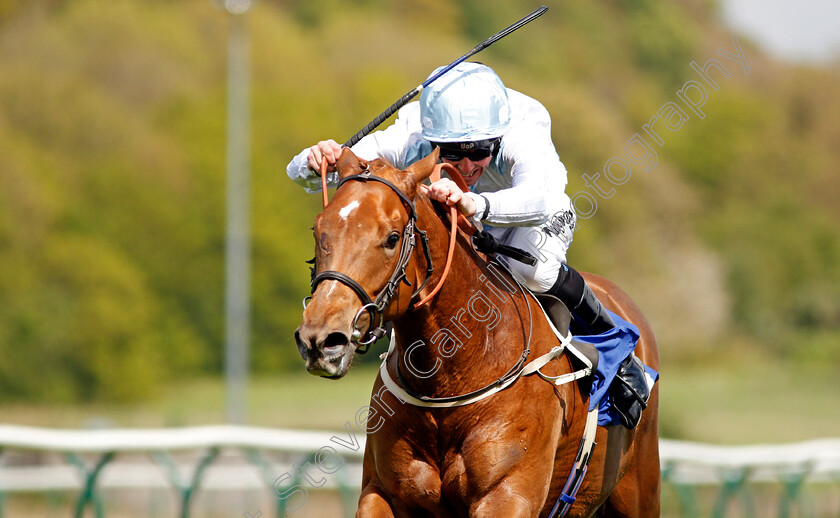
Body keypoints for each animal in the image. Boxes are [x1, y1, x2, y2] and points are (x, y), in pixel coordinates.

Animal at [296, 147, 664, 518]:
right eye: (317, 229)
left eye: (392, 238)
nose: (321, 340)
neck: (453, 375)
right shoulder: (382, 492)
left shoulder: (507, 496)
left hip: (639, 491)